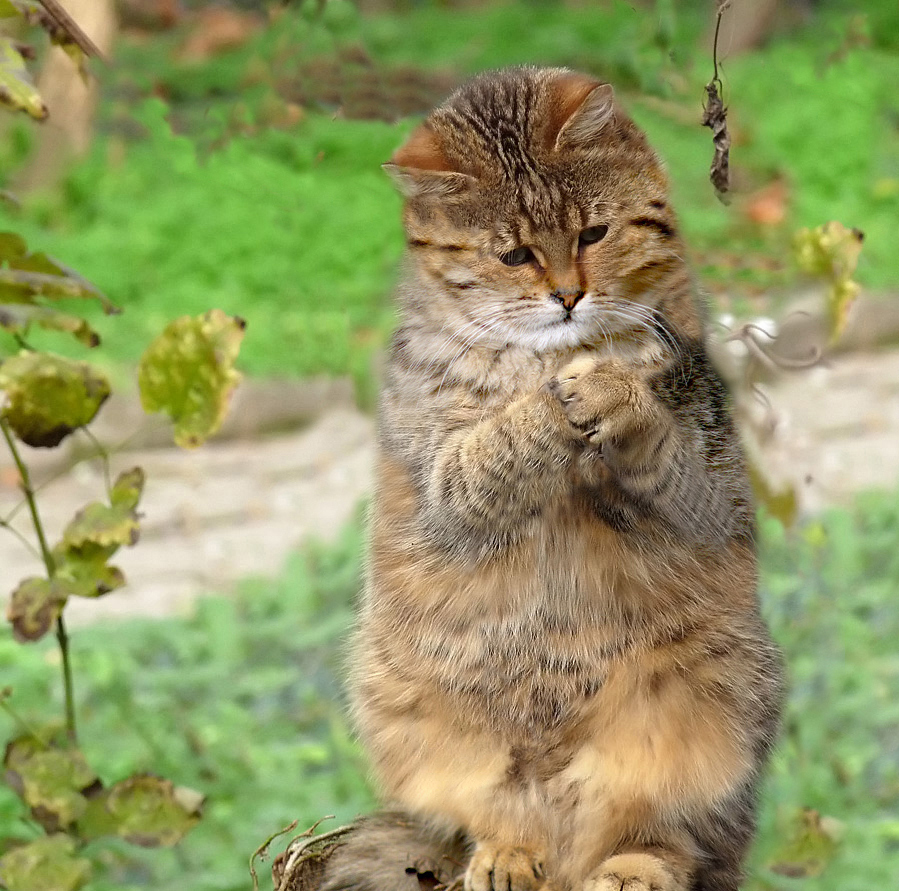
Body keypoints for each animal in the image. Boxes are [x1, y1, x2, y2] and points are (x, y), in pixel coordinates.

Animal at [326, 68, 788, 891]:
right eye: (513, 256)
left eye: (592, 235)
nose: (568, 296)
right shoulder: (441, 483)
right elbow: (495, 442)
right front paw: (555, 396)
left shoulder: (710, 479)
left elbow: (654, 429)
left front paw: (614, 389)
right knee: (495, 820)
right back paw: (507, 854)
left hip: (715, 704)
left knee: (663, 830)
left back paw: (630, 866)